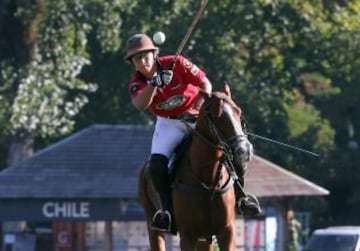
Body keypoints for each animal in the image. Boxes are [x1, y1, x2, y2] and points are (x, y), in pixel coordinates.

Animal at [138, 83, 253, 250]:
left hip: (205, 237)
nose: (244, 150)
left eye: (238, 111)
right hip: (151, 221)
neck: (207, 179)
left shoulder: (226, 232)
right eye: (215, 115)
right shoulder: (188, 235)